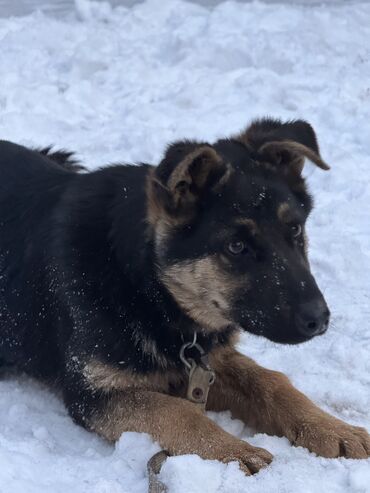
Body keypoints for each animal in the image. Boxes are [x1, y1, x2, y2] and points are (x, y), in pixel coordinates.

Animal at [0, 118, 370, 472]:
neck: (143, 284)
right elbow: (175, 411)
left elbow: (272, 383)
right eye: (236, 247)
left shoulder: (207, 359)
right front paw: (234, 450)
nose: (319, 320)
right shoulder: (92, 392)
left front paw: (333, 428)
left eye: (294, 229)